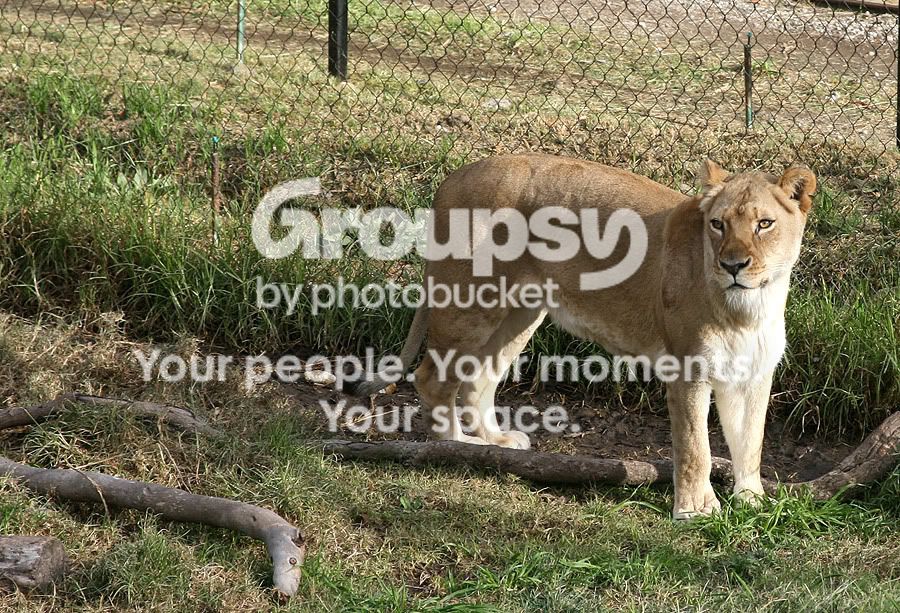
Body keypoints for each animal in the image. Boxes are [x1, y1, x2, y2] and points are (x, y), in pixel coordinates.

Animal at [348, 153, 816, 520]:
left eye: (765, 224)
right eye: (717, 224)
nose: (733, 265)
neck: (748, 308)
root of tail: (451, 177)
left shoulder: (754, 375)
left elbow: (750, 442)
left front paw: (751, 500)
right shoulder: (688, 369)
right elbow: (695, 446)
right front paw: (696, 509)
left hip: (520, 312)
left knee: (478, 379)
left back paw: (496, 443)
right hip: (472, 305)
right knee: (432, 377)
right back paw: (457, 449)